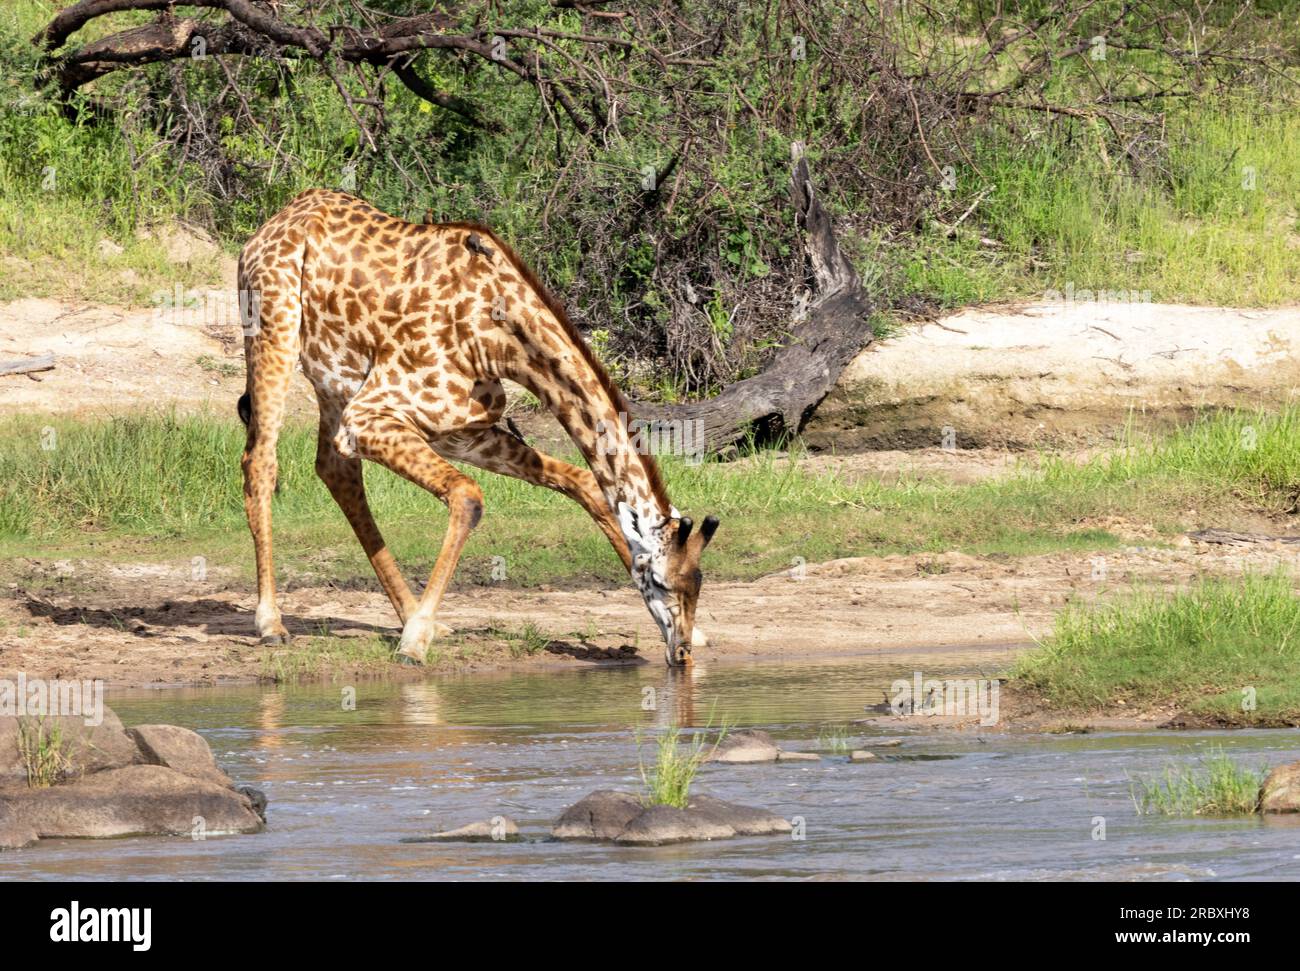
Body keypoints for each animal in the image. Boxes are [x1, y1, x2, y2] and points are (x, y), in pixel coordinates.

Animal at [236, 189, 722, 670]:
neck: (500, 337)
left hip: (335, 382)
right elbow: (468, 496)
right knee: (261, 459)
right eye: (658, 580)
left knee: (335, 470)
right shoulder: (371, 414)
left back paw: (414, 616)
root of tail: (278, 219)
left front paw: (699, 635)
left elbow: (585, 482)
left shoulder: (460, 429)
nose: (680, 653)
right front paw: (414, 643)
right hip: (274, 330)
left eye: (697, 583)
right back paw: (272, 623)